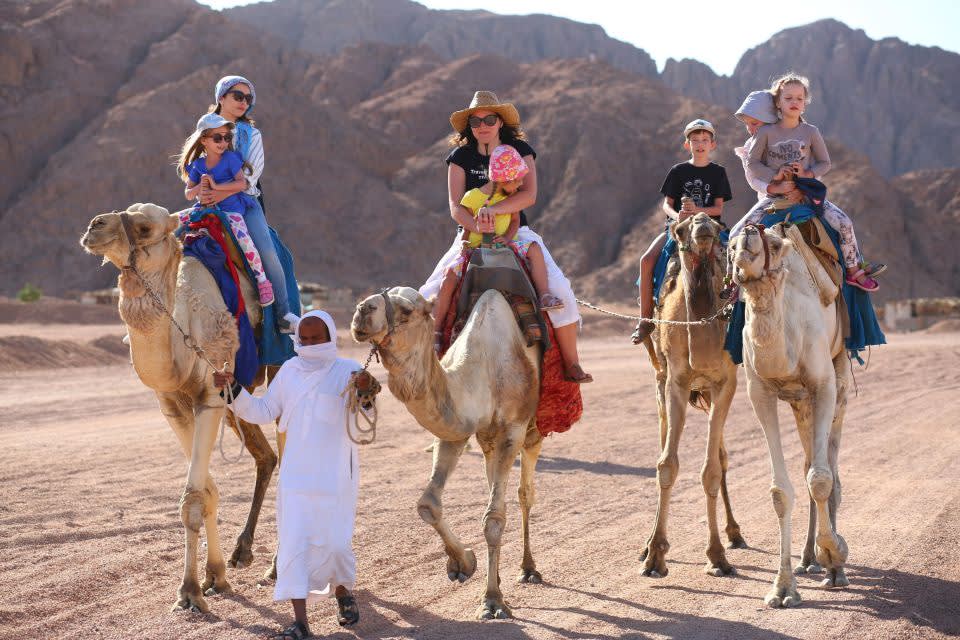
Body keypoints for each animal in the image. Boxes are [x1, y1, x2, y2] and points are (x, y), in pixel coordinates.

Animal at [80, 203, 280, 613]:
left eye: (144, 226)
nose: (94, 226)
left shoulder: (208, 398)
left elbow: (193, 498)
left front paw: (189, 591)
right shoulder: (173, 404)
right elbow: (207, 491)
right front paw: (214, 577)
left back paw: (278, 567)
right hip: (236, 402)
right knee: (266, 456)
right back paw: (242, 552)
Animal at [350, 286, 542, 620]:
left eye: (407, 310)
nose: (363, 309)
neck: (481, 373)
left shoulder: (513, 430)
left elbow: (494, 518)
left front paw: (492, 601)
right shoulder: (455, 432)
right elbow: (428, 504)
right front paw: (463, 563)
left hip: (534, 429)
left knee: (524, 493)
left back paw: (528, 569)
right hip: (488, 441)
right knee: (495, 480)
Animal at [640, 213, 746, 578]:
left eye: (716, 224)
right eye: (681, 229)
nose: (701, 224)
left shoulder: (725, 383)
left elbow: (711, 469)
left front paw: (716, 555)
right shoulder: (676, 382)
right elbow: (666, 464)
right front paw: (655, 555)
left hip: (712, 394)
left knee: (723, 457)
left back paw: (734, 533)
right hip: (661, 383)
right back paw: (645, 546)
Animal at [731, 222, 850, 607]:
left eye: (772, 243)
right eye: (731, 245)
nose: (747, 237)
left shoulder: (823, 385)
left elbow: (821, 480)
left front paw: (835, 553)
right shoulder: (760, 393)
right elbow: (781, 491)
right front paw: (782, 588)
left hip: (840, 383)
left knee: (830, 471)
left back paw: (832, 568)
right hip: (800, 404)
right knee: (810, 463)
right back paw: (807, 558)